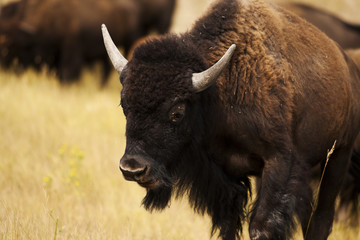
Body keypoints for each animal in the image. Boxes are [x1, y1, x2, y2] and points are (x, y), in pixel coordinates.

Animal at [101, 0, 360, 239]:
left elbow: (261, 226)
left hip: (338, 156)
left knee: (322, 218)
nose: (133, 168)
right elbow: (228, 225)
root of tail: (348, 67)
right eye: (125, 106)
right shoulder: (224, 178)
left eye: (177, 112)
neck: (218, 93)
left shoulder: (279, 162)